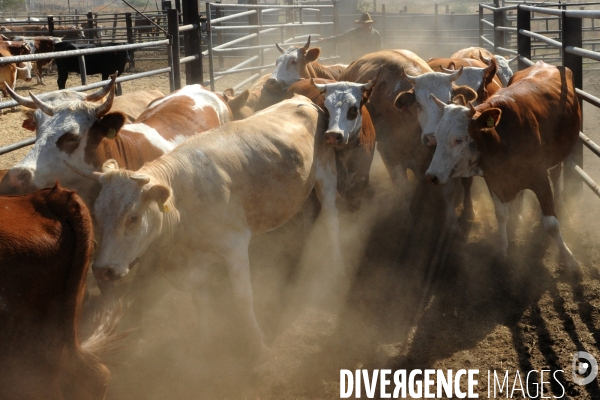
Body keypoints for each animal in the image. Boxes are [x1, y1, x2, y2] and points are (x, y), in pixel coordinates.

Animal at [68, 94, 340, 360]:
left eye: (133, 217)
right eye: (97, 212)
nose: (102, 269)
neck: (184, 198)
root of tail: (304, 100)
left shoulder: (235, 245)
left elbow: (243, 299)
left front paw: (258, 347)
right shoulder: (195, 257)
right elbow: (200, 301)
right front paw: (203, 344)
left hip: (326, 178)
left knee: (331, 219)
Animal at [426, 61, 580, 276]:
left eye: (458, 140)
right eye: (438, 136)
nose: (431, 176)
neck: (503, 135)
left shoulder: (539, 179)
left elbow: (551, 224)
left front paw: (569, 260)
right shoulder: (495, 179)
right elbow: (501, 214)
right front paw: (502, 249)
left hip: (558, 155)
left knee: (557, 175)